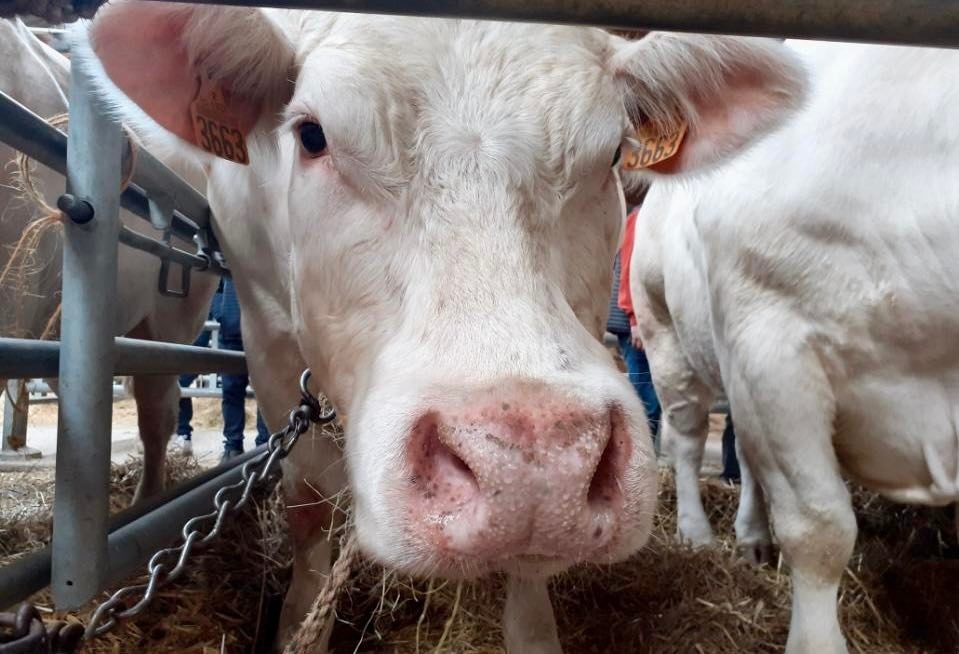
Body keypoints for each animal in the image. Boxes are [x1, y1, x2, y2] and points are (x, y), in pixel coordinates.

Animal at [77, 2, 808, 652]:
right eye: (311, 135)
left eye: (610, 156)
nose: (533, 470)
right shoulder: (264, 331)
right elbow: (309, 511)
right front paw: (299, 624)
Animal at [632, 41, 959, 654]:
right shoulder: (773, 347)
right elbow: (820, 530)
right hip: (664, 329)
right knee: (686, 438)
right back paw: (696, 534)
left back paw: (754, 539)